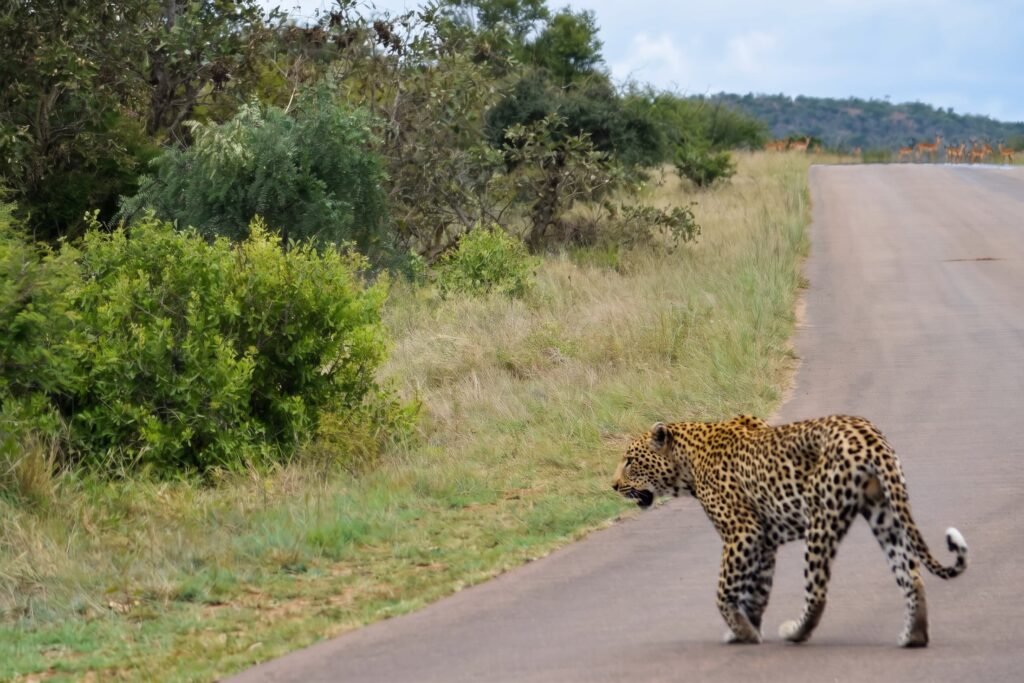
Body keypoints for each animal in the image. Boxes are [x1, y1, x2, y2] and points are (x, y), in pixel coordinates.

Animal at [611, 414, 968, 647]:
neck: (687, 464)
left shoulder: (743, 531)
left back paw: (796, 632)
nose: (612, 486)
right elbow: (757, 591)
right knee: (912, 577)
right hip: (885, 514)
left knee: (817, 592)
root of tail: (870, 438)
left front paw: (741, 631)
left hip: (821, 520)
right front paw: (746, 629)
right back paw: (914, 637)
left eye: (629, 461)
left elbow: (724, 590)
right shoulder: (764, 542)